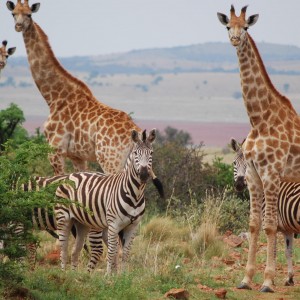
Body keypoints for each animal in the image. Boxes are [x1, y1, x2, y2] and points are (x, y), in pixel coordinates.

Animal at [6, 1, 142, 176]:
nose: (18, 26)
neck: (54, 97)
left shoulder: (55, 151)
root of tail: (137, 133)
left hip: (111, 160)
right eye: (13, 13)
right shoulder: (77, 156)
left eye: (29, 14)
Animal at [54, 129, 161, 274]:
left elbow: (125, 253)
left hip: (82, 223)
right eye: (135, 153)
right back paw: (63, 273)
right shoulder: (114, 225)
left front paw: (123, 275)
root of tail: (70, 175)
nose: (144, 174)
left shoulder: (133, 226)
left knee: (75, 251)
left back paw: (73, 275)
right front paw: (108, 275)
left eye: (151, 153)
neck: (135, 195)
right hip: (63, 218)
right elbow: (112, 251)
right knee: (63, 249)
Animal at [232, 138, 300, 286]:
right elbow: (288, 251)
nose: (239, 185)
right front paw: (290, 278)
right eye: (234, 163)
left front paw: (271, 280)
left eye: (248, 164)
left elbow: (273, 251)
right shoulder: (287, 229)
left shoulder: (274, 224)